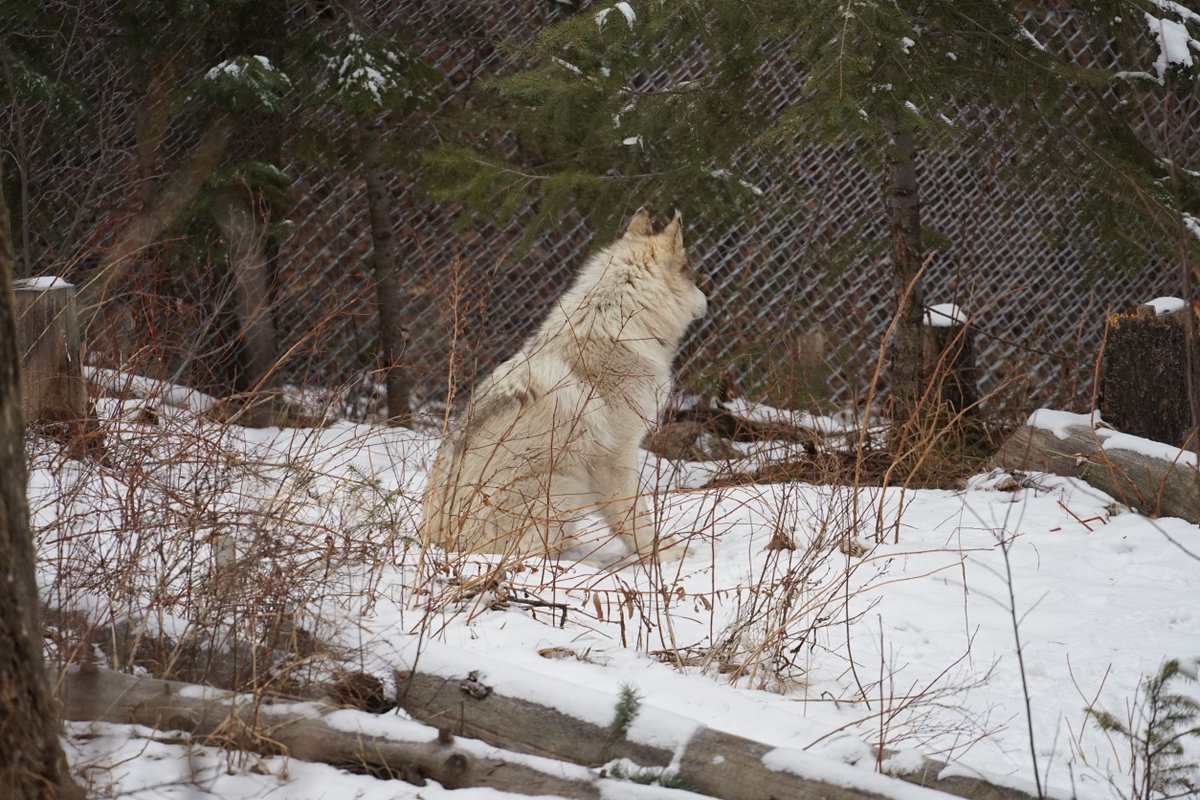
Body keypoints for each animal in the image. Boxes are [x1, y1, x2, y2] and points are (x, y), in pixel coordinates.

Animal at [422, 211, 705, 563]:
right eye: (692, 275)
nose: (707, 301)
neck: (619, 324)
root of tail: (441, 544)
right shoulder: (615, 457)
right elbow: (635, 518)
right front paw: (663, 555)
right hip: (562, 486)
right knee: (527, 554)